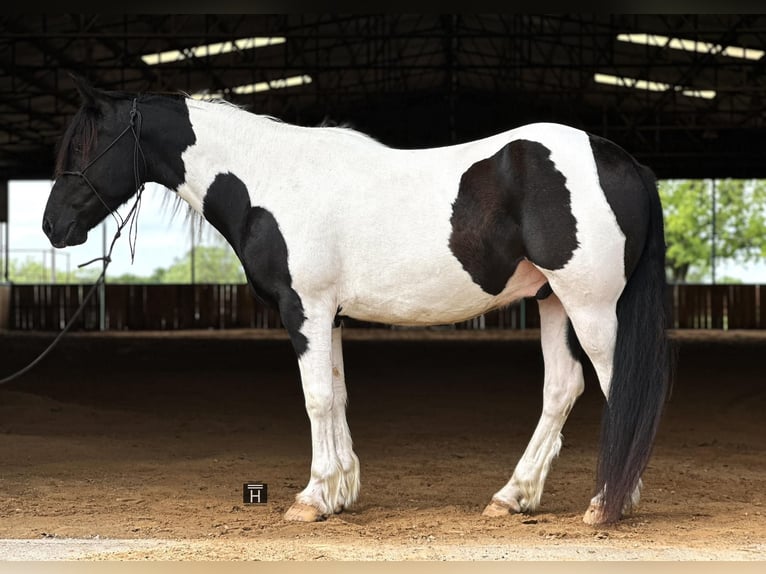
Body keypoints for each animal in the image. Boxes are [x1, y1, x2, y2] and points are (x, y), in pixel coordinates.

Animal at [42, 76, 668, 528]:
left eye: (87, 145)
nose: (53, 226)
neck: (272, 179)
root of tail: (624, 161)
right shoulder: (331, 316)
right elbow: (338, 395)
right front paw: (341, 493)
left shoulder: (305, 309)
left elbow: (316, 398)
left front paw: (312, 498)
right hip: (553, 301)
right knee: (563, 388)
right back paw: (513, 496)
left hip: (589, 306)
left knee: (620, 387)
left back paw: (606, 506)